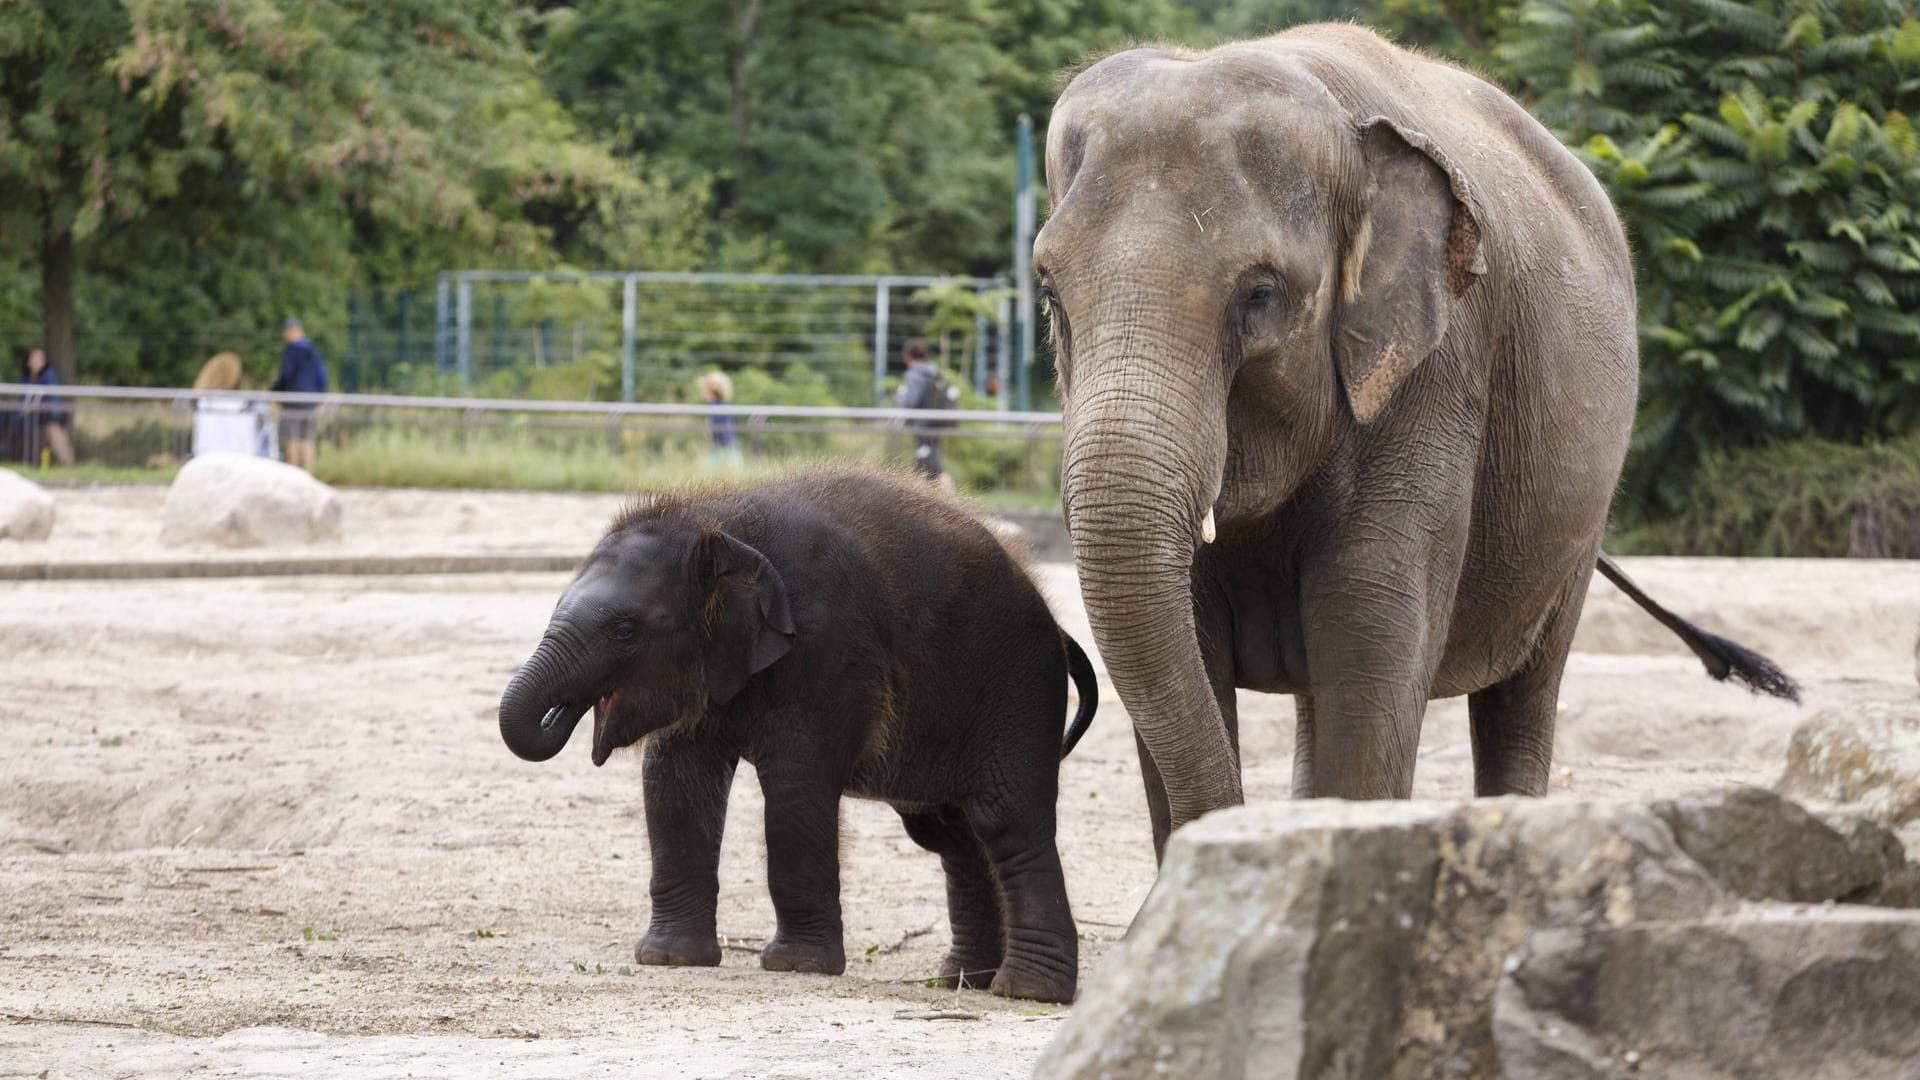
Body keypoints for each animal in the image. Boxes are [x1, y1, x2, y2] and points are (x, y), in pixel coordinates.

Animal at [495, 470, 1098, 999]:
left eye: (624, 630)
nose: (562, 712)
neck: (718, 521)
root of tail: (1055, 623)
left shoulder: (827, 651)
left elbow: (795, 789)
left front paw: (796, 967)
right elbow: (674, 784)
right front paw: (667, 959)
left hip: (1016, 693)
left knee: (1007, 824)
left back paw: (1028, 992)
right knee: (952, 835)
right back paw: (962, 982)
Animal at [1044, 21, 1789, 853]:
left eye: (1260, 295)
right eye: (1049, 293)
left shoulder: (1440, 371)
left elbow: (1370, 638)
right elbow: (1185, 650)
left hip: (1580, 516)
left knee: (1523, 696)